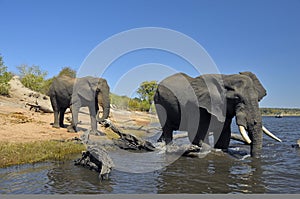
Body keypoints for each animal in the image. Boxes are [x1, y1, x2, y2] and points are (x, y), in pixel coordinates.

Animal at [154, 72, 282, 158]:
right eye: (237, 99)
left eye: (258, 99)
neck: (226, 78)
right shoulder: (198, 107)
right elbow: (197, 134)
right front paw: (197, 150)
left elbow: (224, 137)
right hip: (160, 103)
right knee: (167, 128)